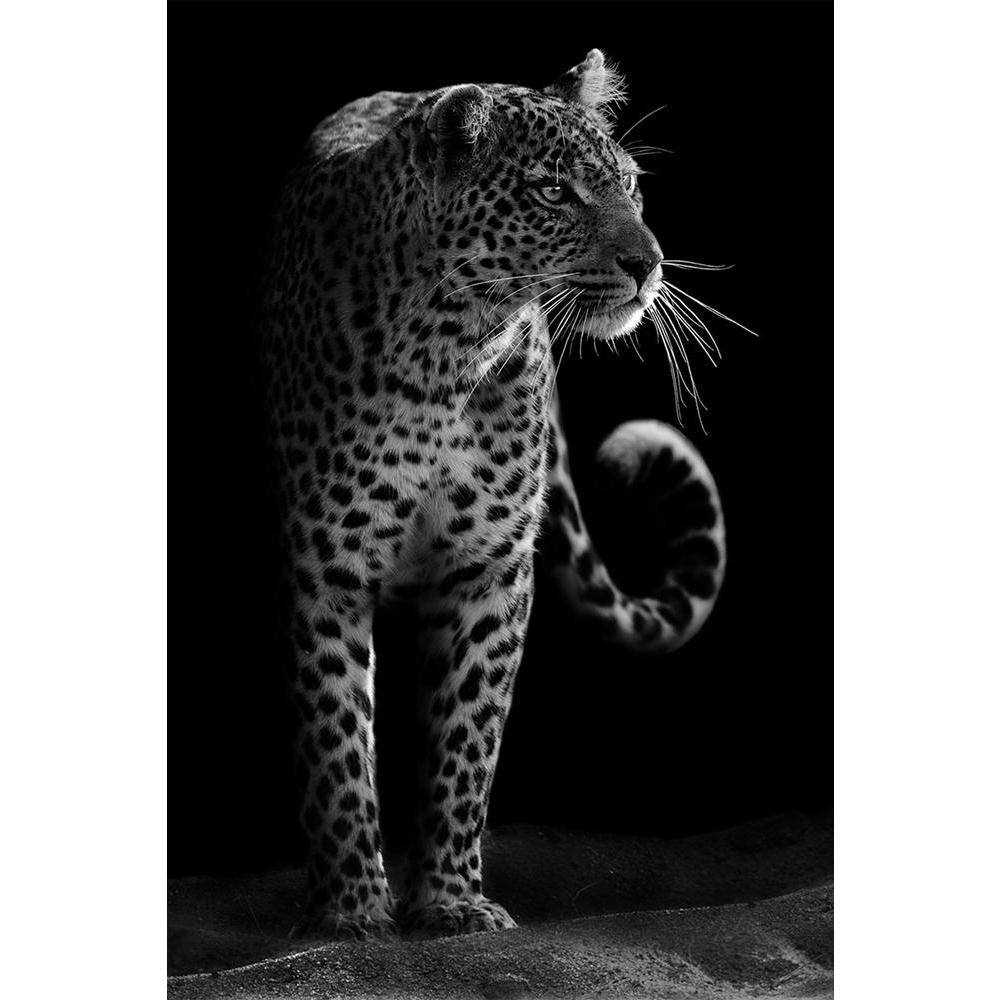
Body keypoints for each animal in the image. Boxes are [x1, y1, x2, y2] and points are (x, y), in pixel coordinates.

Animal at [262, 49, 727, 941]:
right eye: (553, 192)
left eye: (630, 185)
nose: (648, 264)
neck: (448, 346)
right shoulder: (327, 565)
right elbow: (336, 739)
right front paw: (351, 910)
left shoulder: (490, 568)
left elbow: (466, 738)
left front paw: (449, 899)